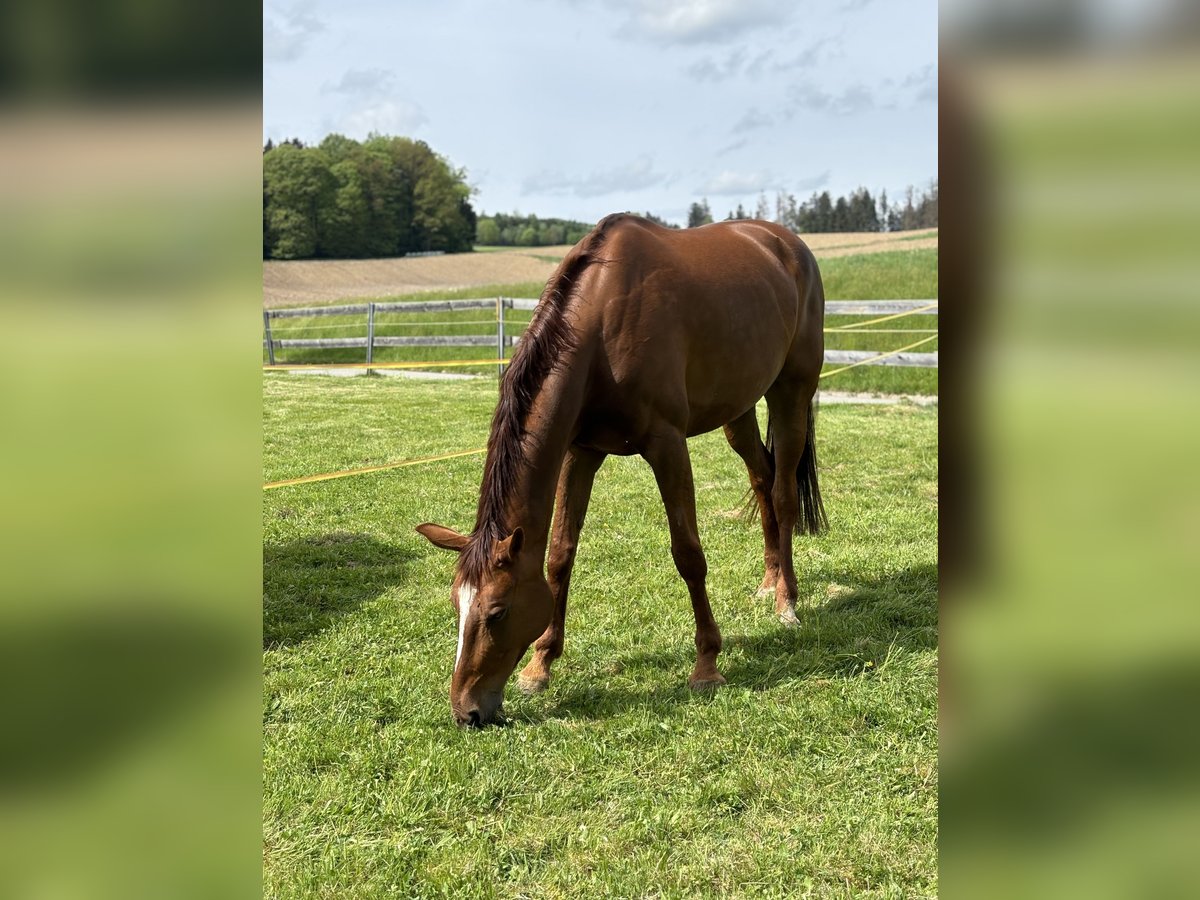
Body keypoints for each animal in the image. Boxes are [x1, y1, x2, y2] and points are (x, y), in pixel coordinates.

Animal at [415, 214, 825, 729]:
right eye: (457, 606)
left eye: (497, 612)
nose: (467, 711)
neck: (601, 328)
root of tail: (787, 243)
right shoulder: (581, 451)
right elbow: (560, 554)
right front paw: (540, 666)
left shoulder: (667, 445)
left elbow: (688, 554)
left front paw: (707, 665)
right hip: (739, 409)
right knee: (763, 479)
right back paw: (769, 581)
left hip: (791, 390)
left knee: (785, 492)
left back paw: (786, 601)